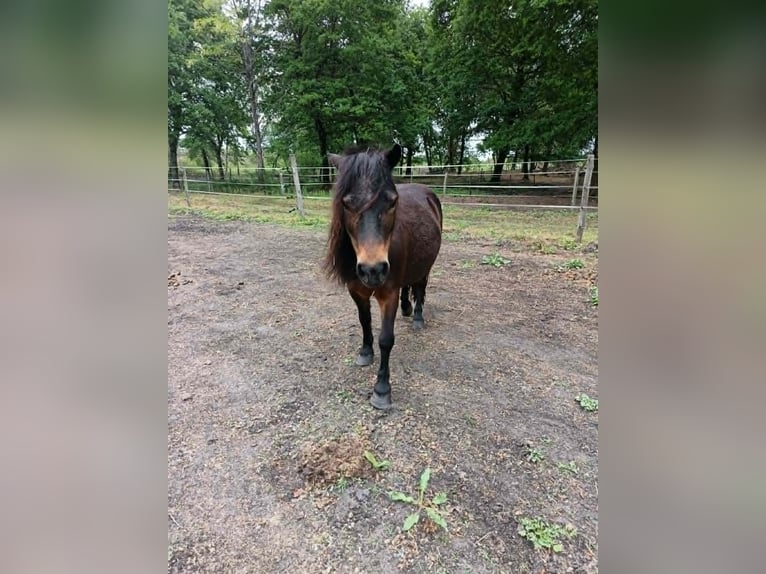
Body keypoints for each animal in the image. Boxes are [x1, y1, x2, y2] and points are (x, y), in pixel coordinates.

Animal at [324, 143, 443, 410]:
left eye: (392, 202)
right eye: (346, 203)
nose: (373, 270)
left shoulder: (388, 293)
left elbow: (386, 339)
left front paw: (381, 390)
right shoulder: (356, 290)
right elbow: (364, 322)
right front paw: (365, 353)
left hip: (426, 266)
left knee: (421, 287)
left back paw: (417, 317)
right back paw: (407, 308)